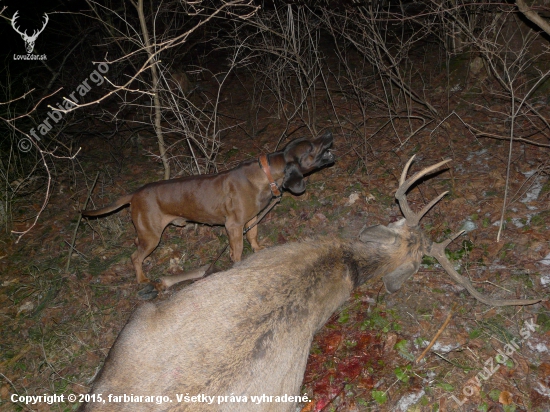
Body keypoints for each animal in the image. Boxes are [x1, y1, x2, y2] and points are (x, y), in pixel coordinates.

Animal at [81, 133, 332, 286]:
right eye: (311, 146)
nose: (329, 133)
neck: (266, 174)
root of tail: (135, 193)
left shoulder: (251, 220)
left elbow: (252, 236)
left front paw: (259, 249)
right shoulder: (233, 226)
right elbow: (237, 250)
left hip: (145, 233)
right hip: (152, 236)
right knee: (135, 257)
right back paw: (142, 278)